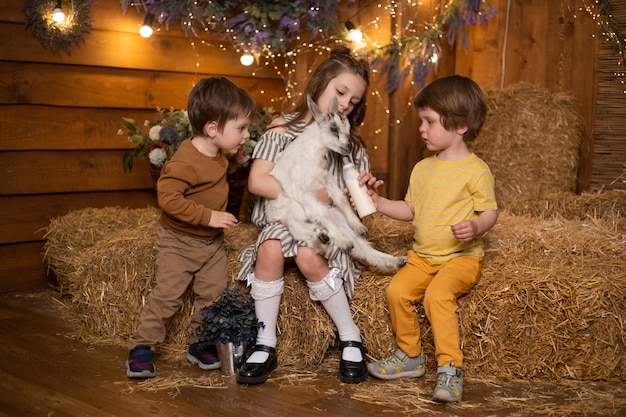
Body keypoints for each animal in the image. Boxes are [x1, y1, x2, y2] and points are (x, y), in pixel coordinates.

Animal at [264, 94, 404, 272]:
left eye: (348, 128)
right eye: (334, 129)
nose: (349, 146)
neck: (313, 156)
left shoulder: (327, 180)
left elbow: (342, 199)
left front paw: (358, 226)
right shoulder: (302, 192)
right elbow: (323, 212)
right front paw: (342, 241)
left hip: (337, 218)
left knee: (360, 246)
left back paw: (396, 260)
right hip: (289, 216)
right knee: (302, 231)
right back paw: (329, 240)